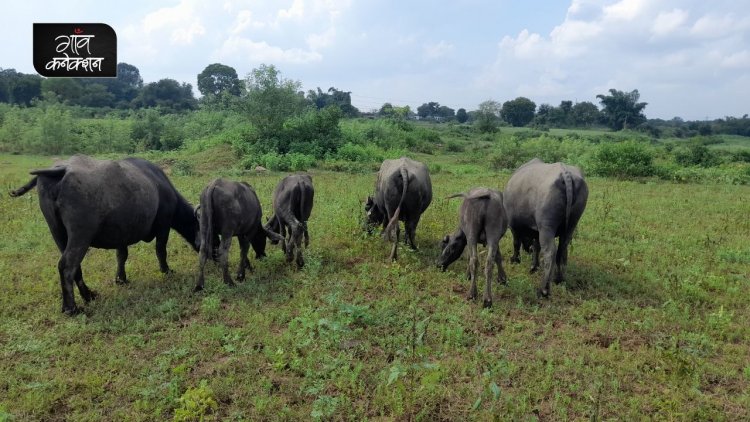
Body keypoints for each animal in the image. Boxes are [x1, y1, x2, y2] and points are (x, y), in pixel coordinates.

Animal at [8, 155, 200, 314]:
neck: (160, 185)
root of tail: (62, 170)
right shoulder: (163, 225)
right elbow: (161, 250)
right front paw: (167, 271)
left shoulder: (122, 234)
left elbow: (121, 256)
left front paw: (121, 279)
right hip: (81, 234)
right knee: (67, 265)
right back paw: (71, 308)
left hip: (58, 233)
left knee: (75, 267)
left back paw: (89, 295)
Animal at [506, 157, 588, 298]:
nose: (527, 249)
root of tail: (565, 173)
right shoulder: (536, 231)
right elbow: (536, 247)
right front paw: (534, 266)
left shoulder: (514, 225)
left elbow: (516, 243)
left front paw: (515, 259)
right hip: (571, 225)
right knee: (562, 250)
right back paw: (559, 279)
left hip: (547, 227)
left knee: (550, 252)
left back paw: (544, 289)